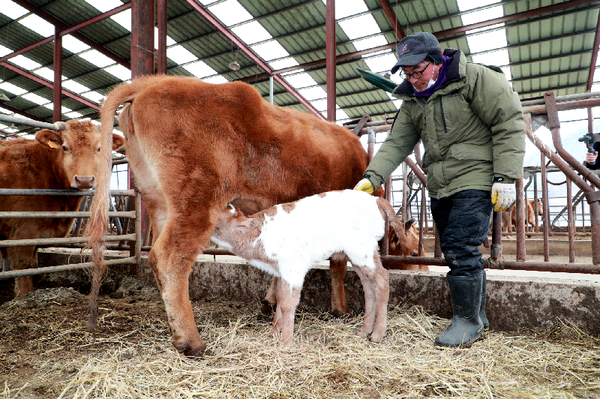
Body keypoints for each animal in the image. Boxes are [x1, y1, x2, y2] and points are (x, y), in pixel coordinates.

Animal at [0, 120, 124, 298]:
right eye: (65, 147)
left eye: (99, 148)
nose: (84, 180)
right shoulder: (22, 230)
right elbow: (23, 266)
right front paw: (24, 295)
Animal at [85, 74, 380, 356]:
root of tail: (153, 82)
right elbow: (338, 265)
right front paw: (340, 308)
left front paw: (271, 302)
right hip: (196, 200)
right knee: (170, 257)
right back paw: (191, 341)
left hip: (159, 200)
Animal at [211, 190, 408, 346]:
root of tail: (375, 199)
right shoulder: (281, 270)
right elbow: (280, 299)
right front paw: (274, 333)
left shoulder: (293, 267)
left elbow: (288, 304)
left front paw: (286, 342)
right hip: (358, 254)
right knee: (369, 287)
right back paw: (364, 331)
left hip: (362, 249)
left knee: (382, 279)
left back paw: (377, 335)